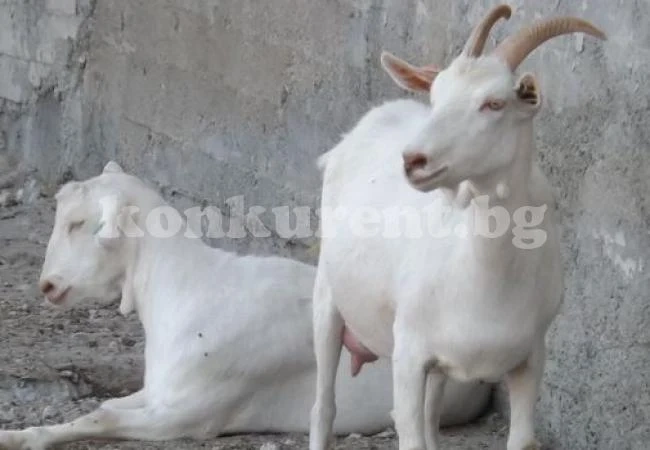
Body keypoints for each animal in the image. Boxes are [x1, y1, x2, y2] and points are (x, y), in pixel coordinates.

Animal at [0, 162, 490, 450]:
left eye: (78, 223)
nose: (47, 284)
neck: (187, 289)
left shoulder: (186, 413)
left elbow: (102, 417)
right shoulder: (159, 391)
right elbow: (100, 408)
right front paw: (18, 434)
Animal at [309, 5, 606, 450]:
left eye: (494, 103)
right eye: (436, 97)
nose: (413, 160)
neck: (485, 278)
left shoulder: (530, 359)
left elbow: (517, 437)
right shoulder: (409, 352)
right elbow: (408, 429)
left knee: (432, 415)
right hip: (329, 296)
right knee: (324, 406)